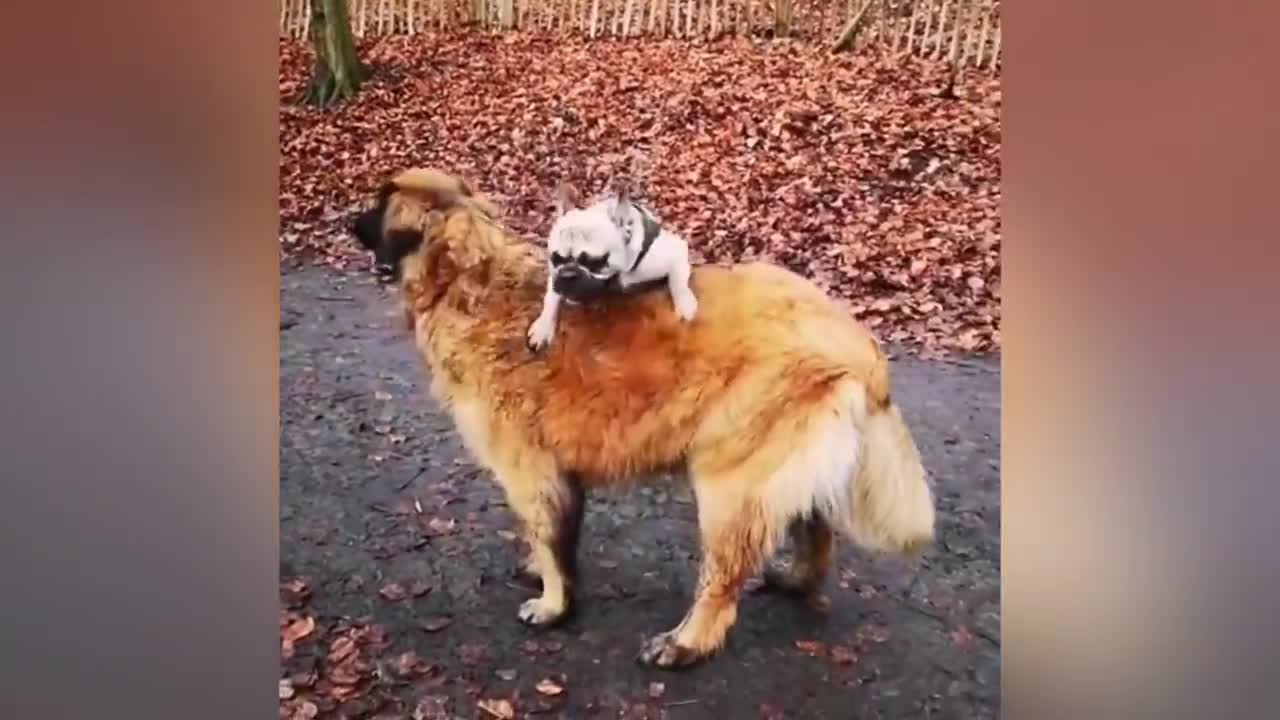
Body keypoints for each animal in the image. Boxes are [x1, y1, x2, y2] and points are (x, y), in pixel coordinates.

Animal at [524, 178, 696, 348]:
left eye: (595, 262)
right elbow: (551, 298)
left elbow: (678, 282)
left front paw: (685, 303)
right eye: (556, 259)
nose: (568, 274)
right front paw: (543, 326)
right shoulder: (555, 276)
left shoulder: (675, 251)